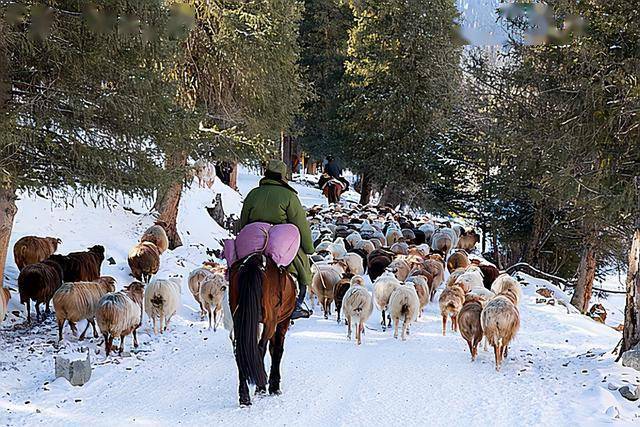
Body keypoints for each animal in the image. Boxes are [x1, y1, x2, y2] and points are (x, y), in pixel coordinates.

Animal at [230, 254, 298, 408]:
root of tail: (252, 263)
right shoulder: (282, 322)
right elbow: (277, 350)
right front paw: (274, 386)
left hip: (240, 319)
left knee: (240, 350)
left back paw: (244, 397)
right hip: (270, 322)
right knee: (260, 348)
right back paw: (260, 387)